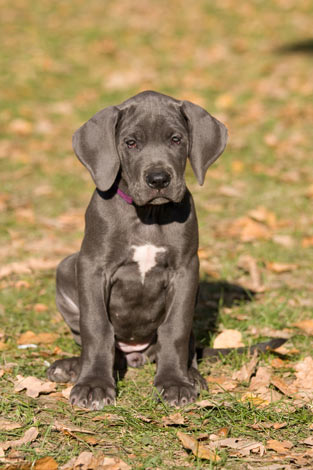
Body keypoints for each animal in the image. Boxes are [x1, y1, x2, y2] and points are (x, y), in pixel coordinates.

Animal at [47, 91, 227, 408]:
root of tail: (135, 355)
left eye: (176, 139)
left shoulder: (186, 270)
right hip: (66, 266)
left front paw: (175, 382)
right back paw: (70, 367)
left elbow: (175, 328)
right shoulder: (92, 266)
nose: (158, 179)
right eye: (131, 143)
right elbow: (97, 327)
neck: (148, 215)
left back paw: (192, 375)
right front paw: (93, 384)